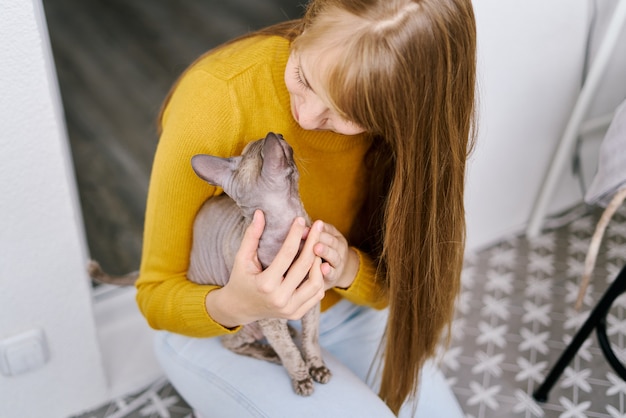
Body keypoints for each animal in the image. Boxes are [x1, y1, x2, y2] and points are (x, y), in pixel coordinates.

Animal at [90, 133, 332, 396]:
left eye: (277, 137)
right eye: (256, 149)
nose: (276, 134)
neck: (288, 222)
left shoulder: (311, 297)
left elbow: (311, 338)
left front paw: (317, 367)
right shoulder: (268, 310)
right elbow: (288, 350)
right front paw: (301, 379)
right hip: (246, 323)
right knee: (231, 343)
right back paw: (269, 352)